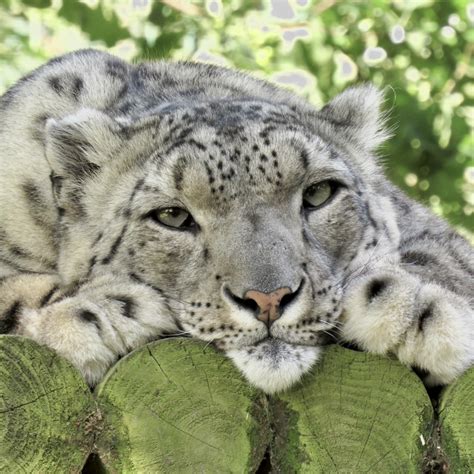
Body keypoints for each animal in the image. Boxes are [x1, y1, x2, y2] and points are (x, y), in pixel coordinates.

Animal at [0, 49, 472, 392]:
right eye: (172, 216)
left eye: (319, 193)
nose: (269, 299)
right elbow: (17, 293)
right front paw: (99, 312)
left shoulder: (429, 229)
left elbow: (446, 259)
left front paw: (414, 310)